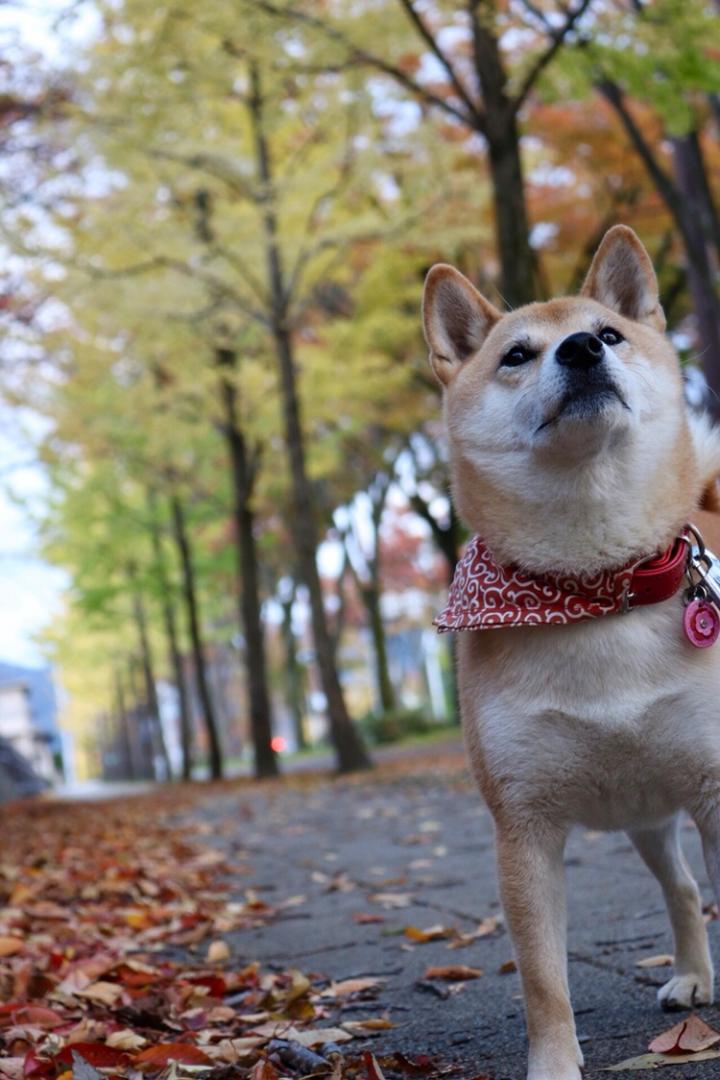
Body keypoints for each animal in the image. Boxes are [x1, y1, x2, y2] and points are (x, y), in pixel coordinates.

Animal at [423, 223, 720, 1075]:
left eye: (610, 333)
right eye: (516, 355)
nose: (582, 348)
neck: (598, 590)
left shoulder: (718, 785)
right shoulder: (523, 828)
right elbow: (542, 978)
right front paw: (553, 1064)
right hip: (646, 814)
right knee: (682, 890)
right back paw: (693, 977)